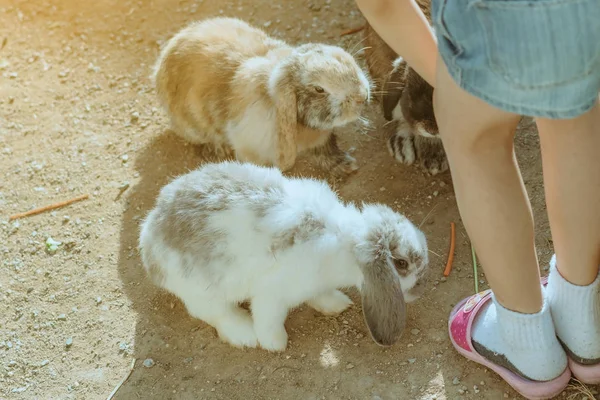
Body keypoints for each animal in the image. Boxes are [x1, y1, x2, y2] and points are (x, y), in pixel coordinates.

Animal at [139, 161, 432, 352]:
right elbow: (269, 318)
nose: (421, 286)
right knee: (212, 313)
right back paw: (245, 334)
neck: (344, 243)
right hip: (204, 291)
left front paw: (336, 304)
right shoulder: (273, 293)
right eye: (402, 263)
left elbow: (320, 295)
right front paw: (274, 344)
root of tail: (149, 241)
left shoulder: (314, 284)